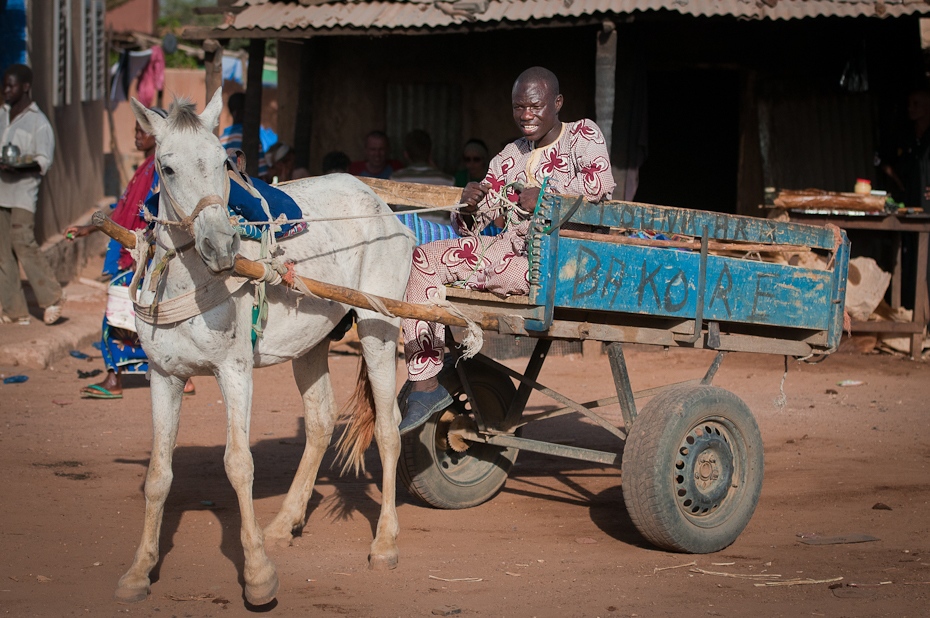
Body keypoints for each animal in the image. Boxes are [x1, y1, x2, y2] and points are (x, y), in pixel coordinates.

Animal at [114, 89, 412, 604]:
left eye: (221, 160)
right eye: (166, 168)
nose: (222, 245)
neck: (190, 284)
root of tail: (381, 203)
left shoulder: (234, 371)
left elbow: (238, 464)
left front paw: (256, 574)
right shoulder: (163, 375)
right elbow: (158, 475)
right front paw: (139, 571)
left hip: (379, 326)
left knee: (389, 428)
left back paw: (385, 543)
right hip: (311, 343)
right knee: (319, 423)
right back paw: (285, 522)